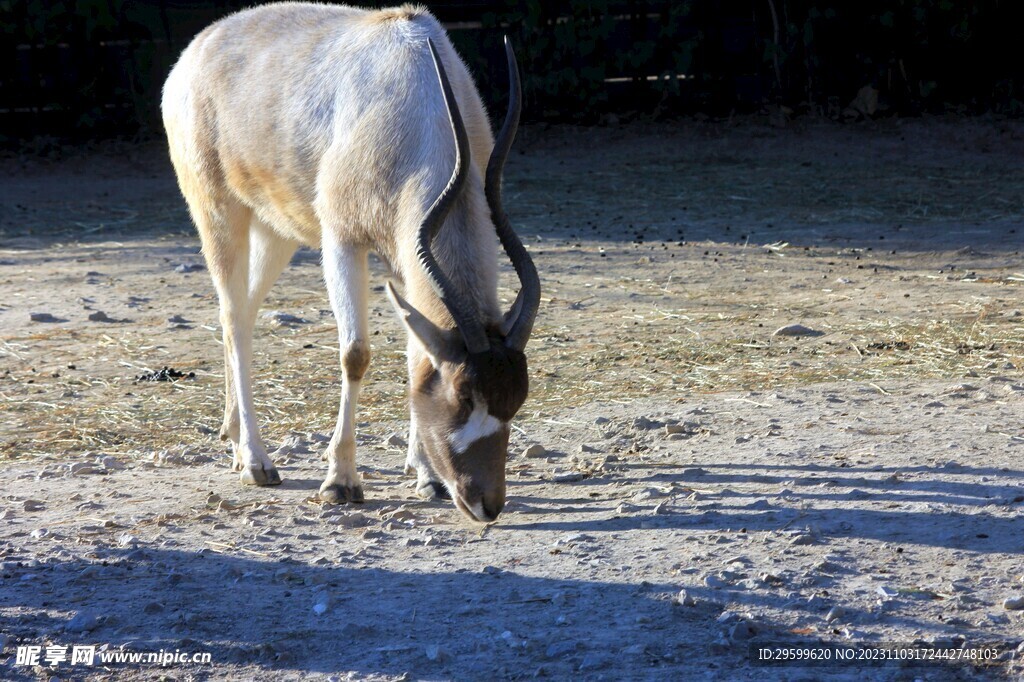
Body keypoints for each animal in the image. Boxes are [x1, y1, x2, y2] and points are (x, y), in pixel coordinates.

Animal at [159, 2, 540, 520]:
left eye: (517, 399)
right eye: (464, 395)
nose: (487, 504)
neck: (419, 97)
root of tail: (198, 47)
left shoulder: (404, 256)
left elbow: (416, 352)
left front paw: (425, 476)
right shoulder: (342, 240)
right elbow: (355, 354)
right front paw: (340, 481)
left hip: (277, 231)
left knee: (243, 312)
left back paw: (234, 437)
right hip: (219, 213)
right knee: (234, 318)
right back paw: (256, 462)